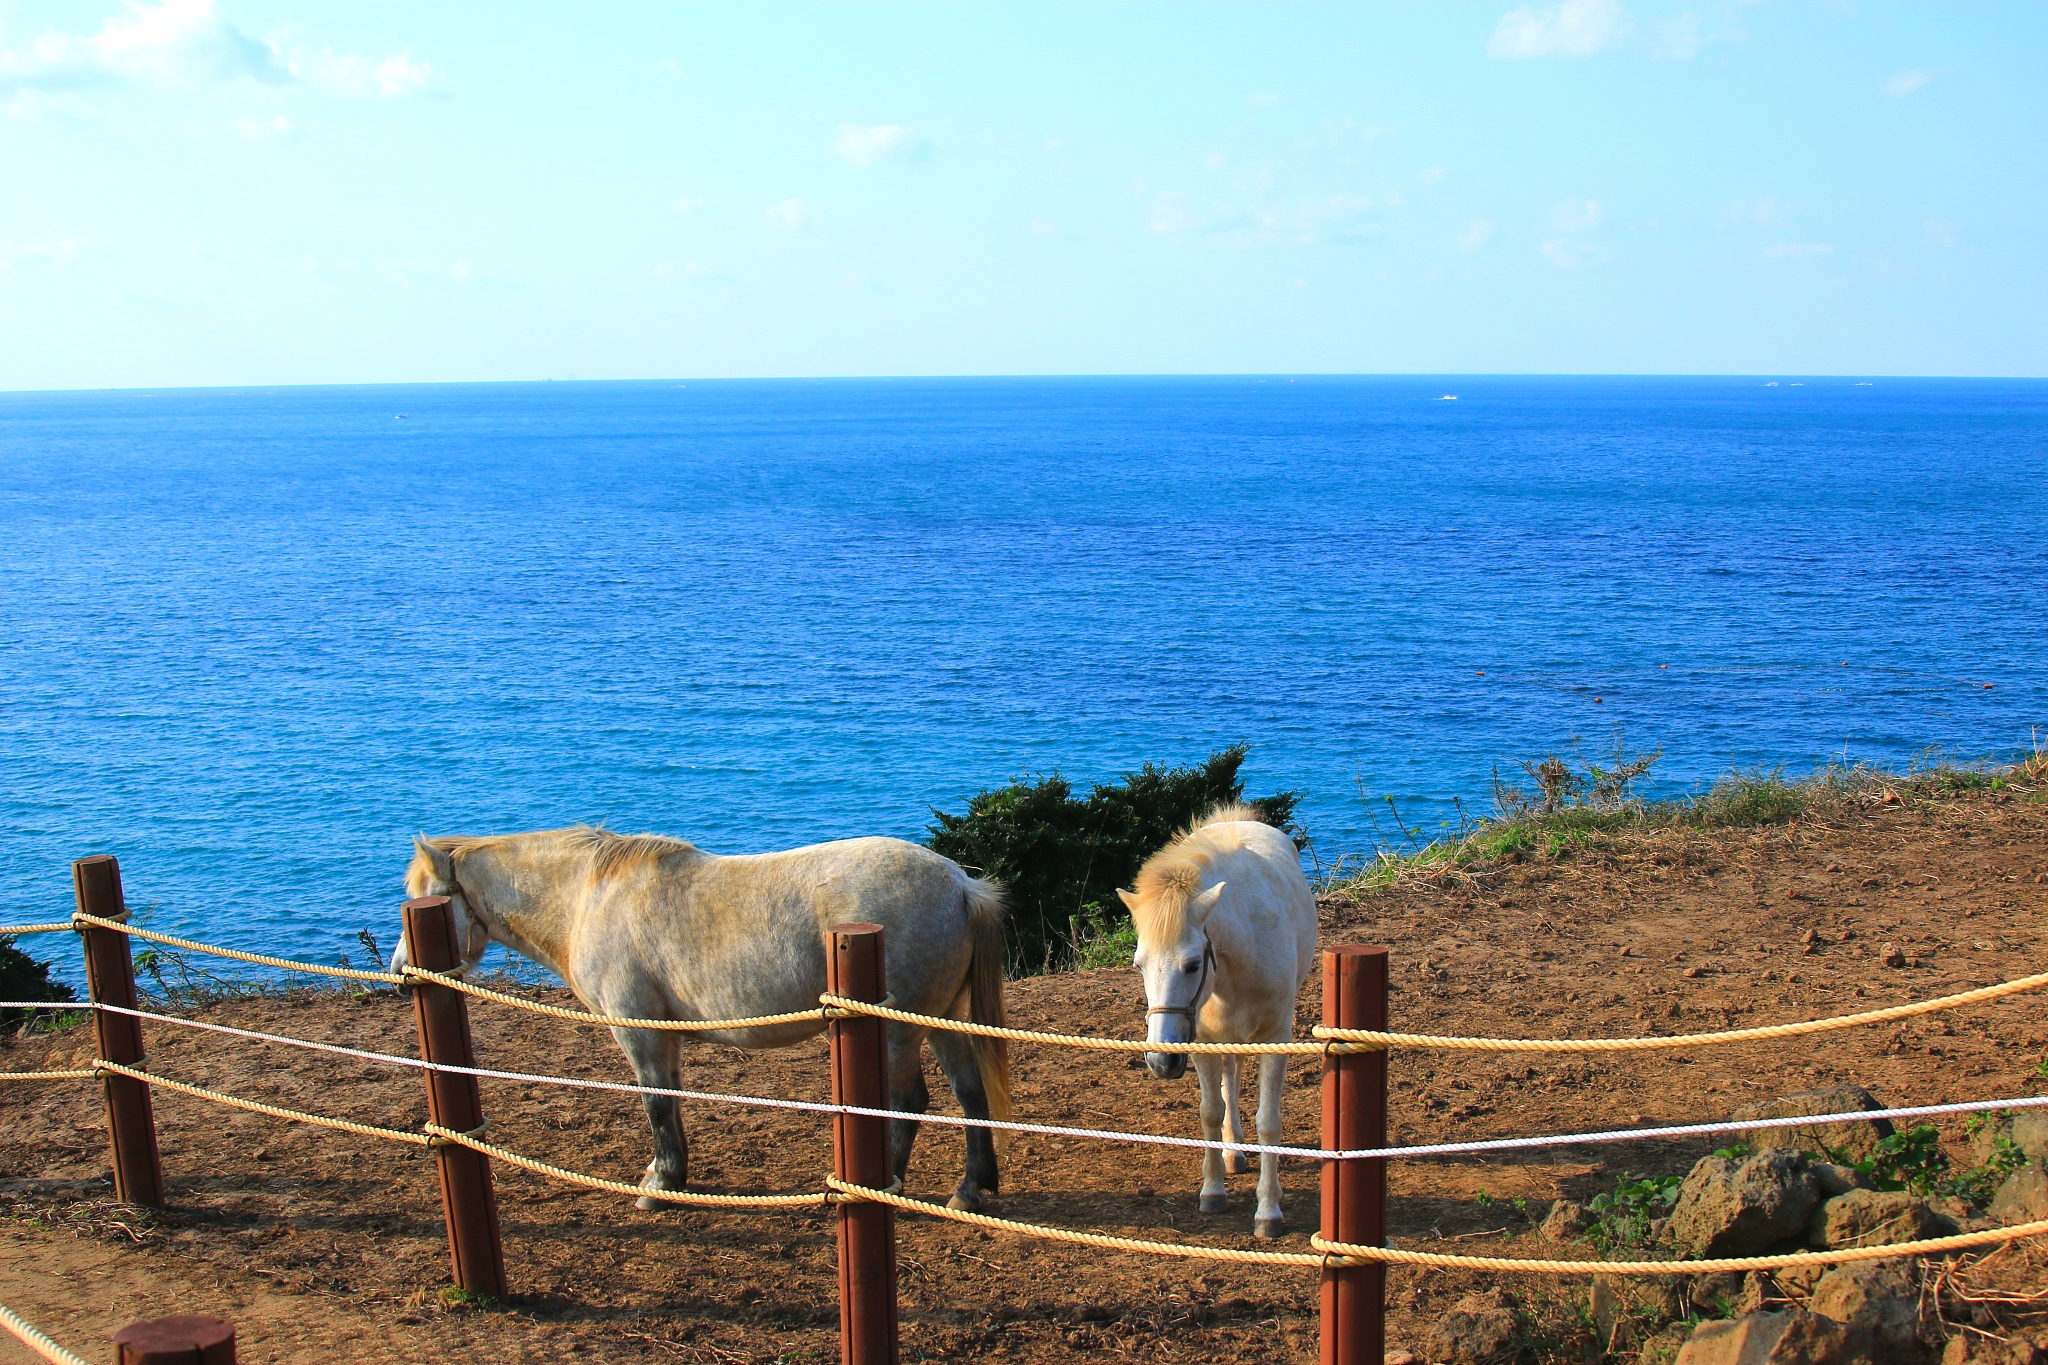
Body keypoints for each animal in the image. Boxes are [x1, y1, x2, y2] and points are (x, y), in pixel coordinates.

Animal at [390, 825, 1013, 1211]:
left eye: (424, 903)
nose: (399, 971)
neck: (590, 898)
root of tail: (962, 885)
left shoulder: (638, 1031)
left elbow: (656, 1105)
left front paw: (660, 1183)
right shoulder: (662, 1035)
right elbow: (670, 1101)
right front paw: (669, 1174)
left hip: (900, 1030)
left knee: (909, 1102)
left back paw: (889, 1183)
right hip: (943, 1019)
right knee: (970, 1096)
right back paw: (969, 1189)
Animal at [1118, 804, 1317, 1239]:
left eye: (1193, 964)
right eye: (1139, 965)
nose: (1160, 1061)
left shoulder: (1277, 1036)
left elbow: (1269, 1121)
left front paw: (1268, 1210)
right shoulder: (1202, 1040)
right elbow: (1210, 1110)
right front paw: (1212, 1191)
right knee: (1230, 1077)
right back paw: (1232, 1150)